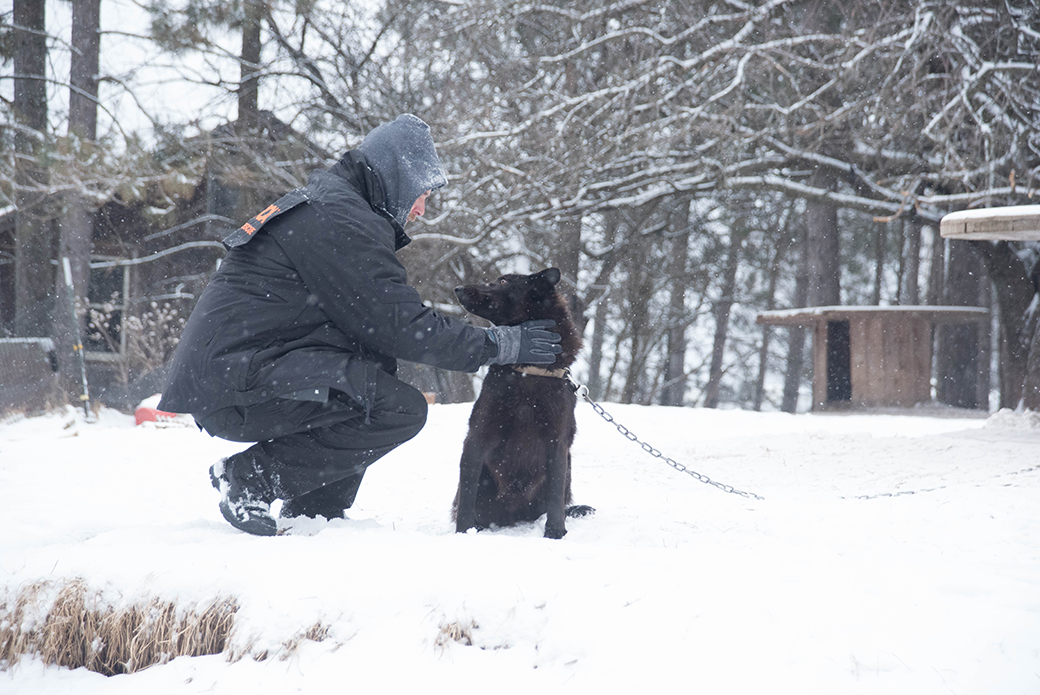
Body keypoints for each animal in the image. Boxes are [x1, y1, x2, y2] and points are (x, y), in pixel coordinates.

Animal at [453, 266, 594, 536]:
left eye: (503, 281)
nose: (457, 288)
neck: (528, 371)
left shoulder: (557, 443)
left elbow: (555, 496)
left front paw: (555, 533)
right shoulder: (477, 438)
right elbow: (467, 493)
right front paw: (464, 532)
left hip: (567, 466)